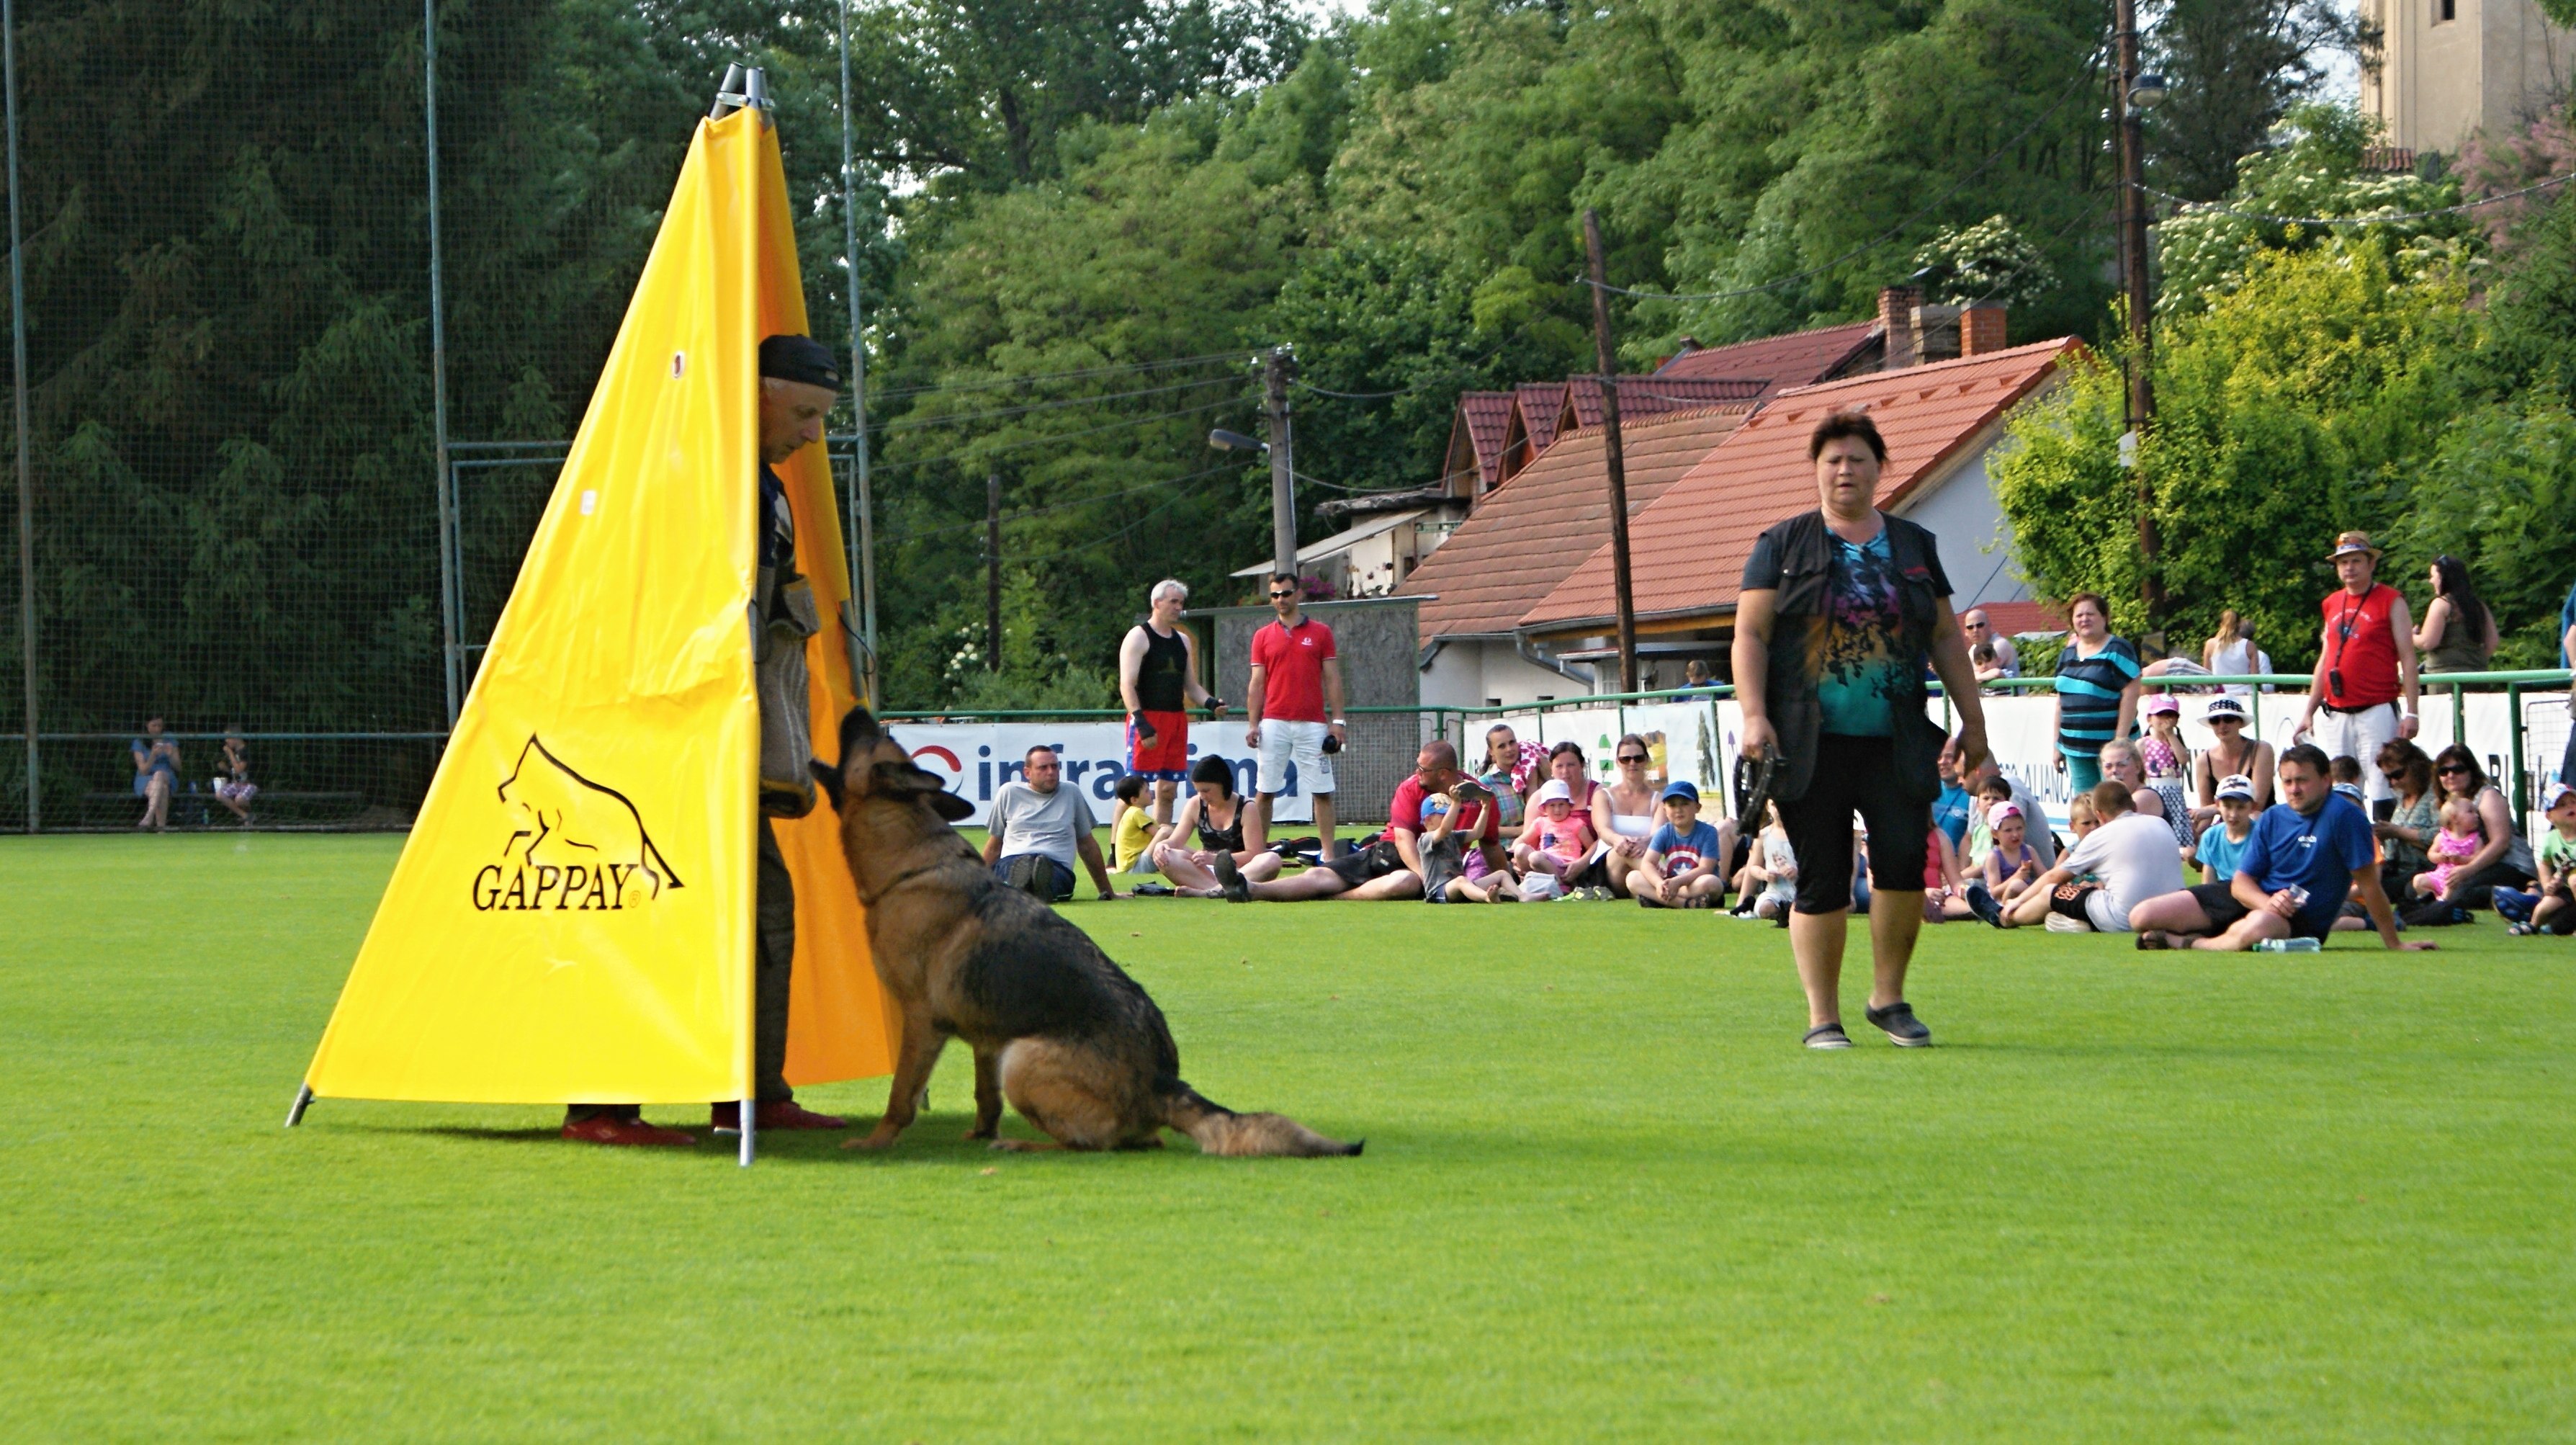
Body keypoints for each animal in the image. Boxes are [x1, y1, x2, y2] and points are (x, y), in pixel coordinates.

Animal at [814, 705, 1360, 1153]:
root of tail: (1163, 1082)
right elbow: (984, 1097)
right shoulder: (985, 1038)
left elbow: (901, 1094)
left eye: (866, 737)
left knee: (1092, 1142)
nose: (858, 709)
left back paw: (1024, 1145)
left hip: (1021, 1058)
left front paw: (876, 1141)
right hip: (1011, 1052)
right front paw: (978, 1132)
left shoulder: (922, 1024)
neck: (910, 865)